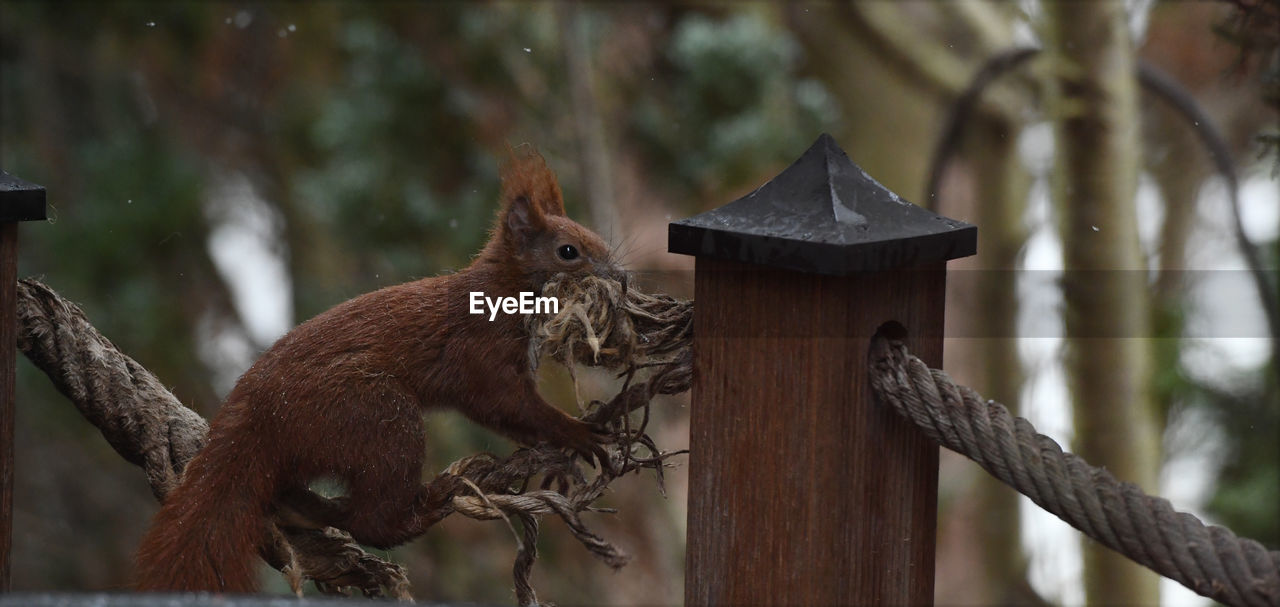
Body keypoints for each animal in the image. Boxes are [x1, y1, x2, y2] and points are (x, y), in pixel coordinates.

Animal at [132, 150, 622, 591]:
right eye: (568, 251)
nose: (621, 278)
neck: (502, 290)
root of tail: (257, 419)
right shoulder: (480, 353)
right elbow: (509, 405)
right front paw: (577, 432)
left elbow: (512, 420)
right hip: (378, 417)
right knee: (373, 520)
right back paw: (426, 504)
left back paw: (308, 509)